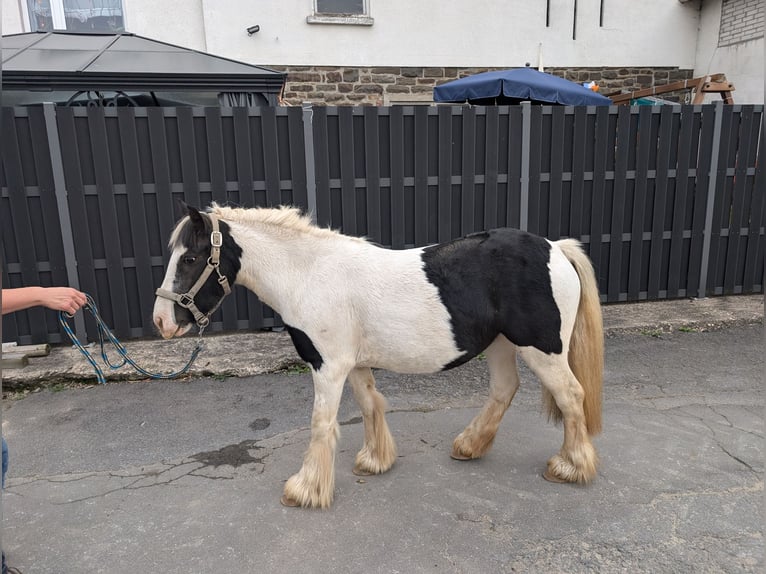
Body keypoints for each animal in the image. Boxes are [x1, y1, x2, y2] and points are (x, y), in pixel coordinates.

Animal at [152, 202, 608, 508]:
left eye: (190, 257)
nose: (161, 321)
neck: (309, 275)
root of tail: (556, 248)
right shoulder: (352, 364)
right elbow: (371, 404)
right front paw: (375, 461)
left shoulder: (329, 366)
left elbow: (322, 424)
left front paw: (306, 489)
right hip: (500, 345)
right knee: (505, 389)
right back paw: (470, 445)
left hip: (542, 349)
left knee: (571, 396)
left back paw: (570, 466)